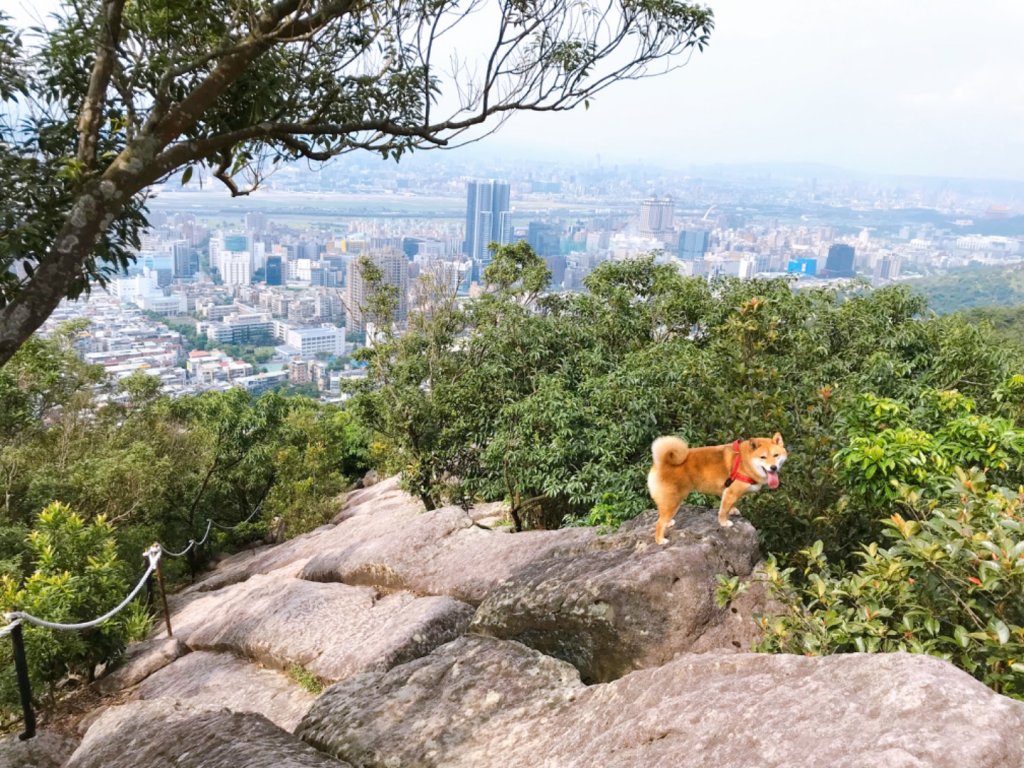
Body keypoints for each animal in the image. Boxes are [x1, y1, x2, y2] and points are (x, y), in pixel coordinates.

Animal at [643, 434, 786, 548]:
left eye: (776, 455)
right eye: (763, 457)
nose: (773, 467)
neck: (744, 462)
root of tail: (661, 463)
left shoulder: (730, 492)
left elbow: (731, 505)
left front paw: (733, 510)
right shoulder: (731, 492)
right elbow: (723, 511)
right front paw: (724, 523)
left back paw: (669, 523)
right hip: (673, 501)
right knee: (659, 523)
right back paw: (660, 540)